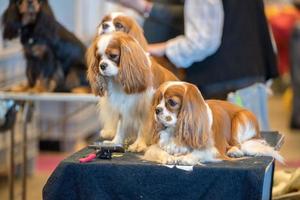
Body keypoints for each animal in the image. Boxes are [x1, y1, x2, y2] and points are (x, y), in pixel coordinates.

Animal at [144, 81, 284, 166]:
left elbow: (199, 153)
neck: (175, 130)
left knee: (237, 143)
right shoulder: (155, 147)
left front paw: (186, 158)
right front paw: (167, 157)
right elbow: (157, 150)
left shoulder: (212, 149)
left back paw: (234, 151)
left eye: (172, 102)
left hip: (240, 120)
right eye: (158, 101)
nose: (157, 110)